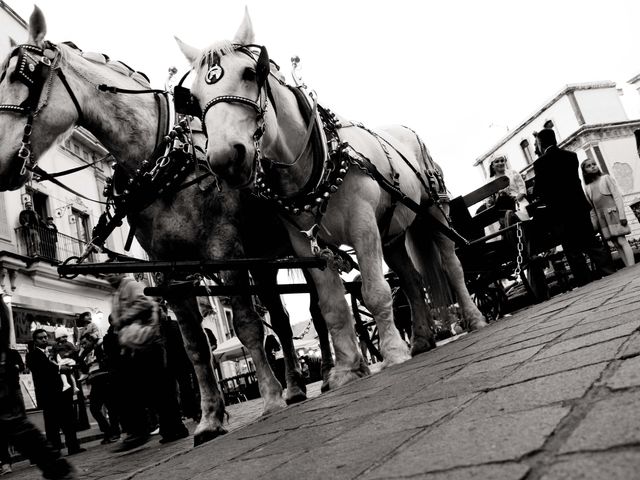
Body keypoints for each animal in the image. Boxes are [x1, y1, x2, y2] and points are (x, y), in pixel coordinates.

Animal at [1, 5, 336, 444]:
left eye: (21, 76)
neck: (165, 163)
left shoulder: (224, 253)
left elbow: (247, 326)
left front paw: (269, 397)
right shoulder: (169, 272)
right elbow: (195, 347)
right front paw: (210, 418)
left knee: (313, 308)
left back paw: (324, 374)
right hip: (261, 260)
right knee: (279, 318)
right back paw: (296, 386)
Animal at [175, 10, 484, 386]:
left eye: (250, 72)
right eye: (193, 97)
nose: (224, 159)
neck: (316, 164)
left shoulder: (363, 225)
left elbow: (375, 291)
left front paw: (392, 353)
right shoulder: (307, 245)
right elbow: (333, 307)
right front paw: (348, 368)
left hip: (433, 212)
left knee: (451, 265)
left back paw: (472, 318)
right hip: (392, 234)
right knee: (410, 280)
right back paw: (422, 339)